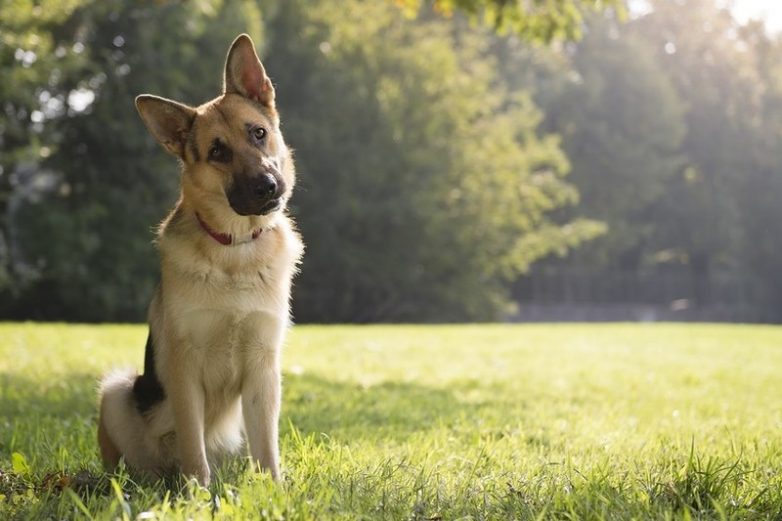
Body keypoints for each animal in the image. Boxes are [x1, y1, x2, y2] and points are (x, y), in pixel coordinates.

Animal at [97, 34, 304, 486]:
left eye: (258, 133)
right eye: (217, 152)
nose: (268, 186)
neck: (234, 249)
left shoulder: (264, 369)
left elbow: (267, 447)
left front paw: (275, 490)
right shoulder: (183, 369)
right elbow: (193, 444)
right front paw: (196, 492)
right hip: (117, 391)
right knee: (135, 461)